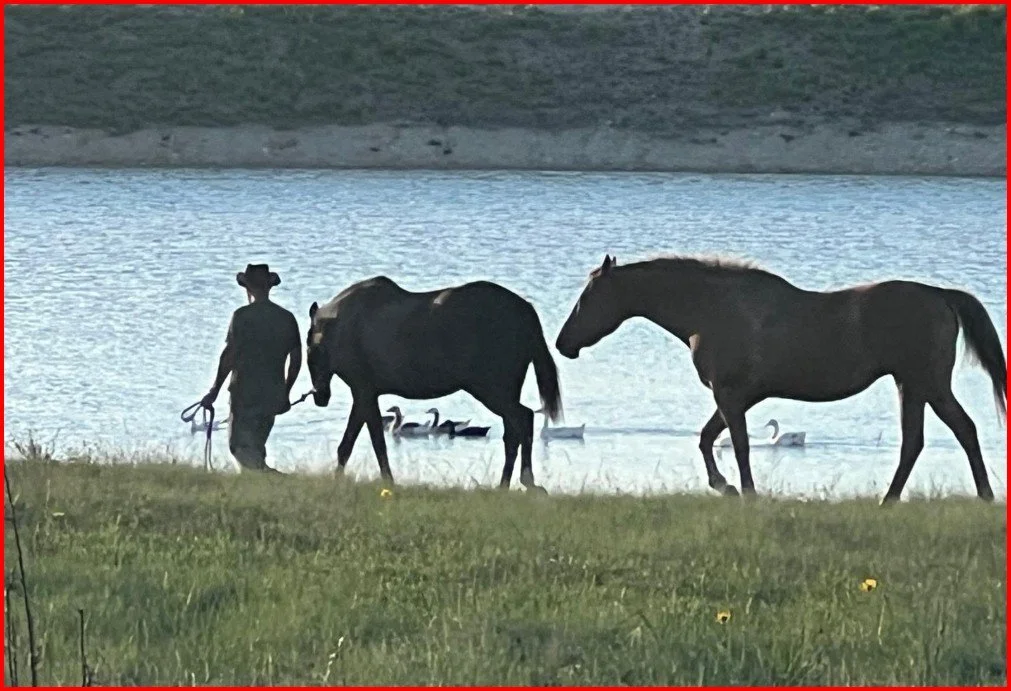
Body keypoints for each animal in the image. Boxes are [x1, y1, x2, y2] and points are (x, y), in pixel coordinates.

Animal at [305, 276, 563, 491]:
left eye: (309, 348)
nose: (320, 396)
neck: (338, 326)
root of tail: (526, 312)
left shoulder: (363, 391)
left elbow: (370, 442)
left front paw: (385, 480)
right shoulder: (366, 393)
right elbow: (354, 443)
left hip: (492, 389)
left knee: (522, 419)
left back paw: (524, 481)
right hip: (504, 390)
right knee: (515, 429)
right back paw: (507, 484)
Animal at [555, 254, 1006, 504]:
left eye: (588, 297)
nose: (563, 343)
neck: (709, 310)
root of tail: (941, 295)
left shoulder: (730, 395)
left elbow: (736, 447)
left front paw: (742, 491)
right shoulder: (735, 398)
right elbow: (707, 439)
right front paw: (725, 486)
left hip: (927, 384)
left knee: (960, 430)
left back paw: (980, 496)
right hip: (910, 386)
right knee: (919, 441)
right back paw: (893, 500)